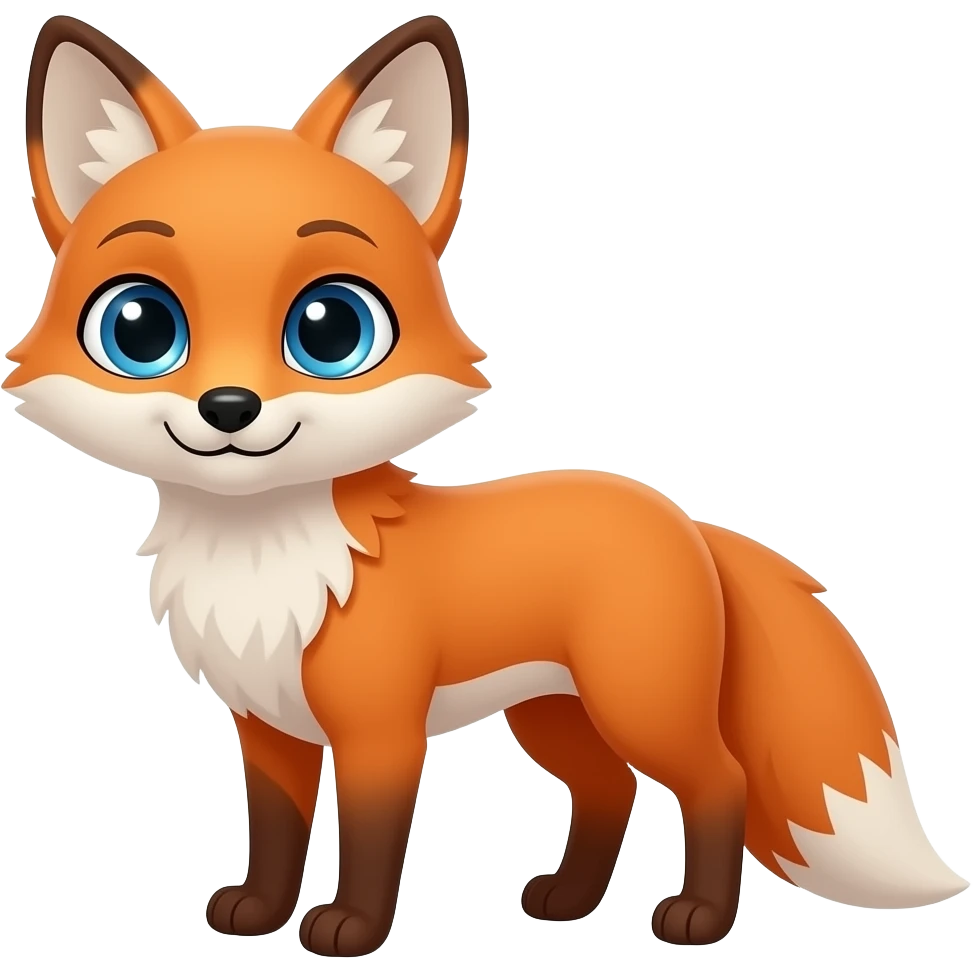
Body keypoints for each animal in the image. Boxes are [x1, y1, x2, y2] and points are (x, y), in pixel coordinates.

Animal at [8, 11, 969, 959]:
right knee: (608, 788)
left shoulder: (380, 730)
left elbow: (370, 839)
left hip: (638, 701)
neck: (264, 556)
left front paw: (350, 929)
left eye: (330, 329)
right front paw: (257, 909)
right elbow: (276, 831)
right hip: (553, 715)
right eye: (139, 328)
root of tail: (680, 515)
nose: (230, 407)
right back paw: (568, 900)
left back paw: (697, 916)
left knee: (715, 779)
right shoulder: (269, 725)